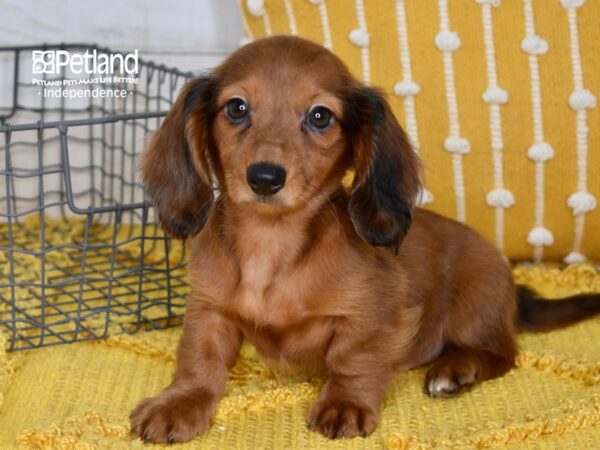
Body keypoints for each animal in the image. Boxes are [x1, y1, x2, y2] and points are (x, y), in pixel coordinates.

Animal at [130, 36, 600, 442]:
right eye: (236, 108)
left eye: (320, 116)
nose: (264, 177)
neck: (271, 244)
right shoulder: (209, 309)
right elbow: (200, 360)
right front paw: (179, 404)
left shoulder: (371, 315)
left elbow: (352, 358)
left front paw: (345, 404)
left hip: (474, 309)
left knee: (504, 353)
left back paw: (455, 370)